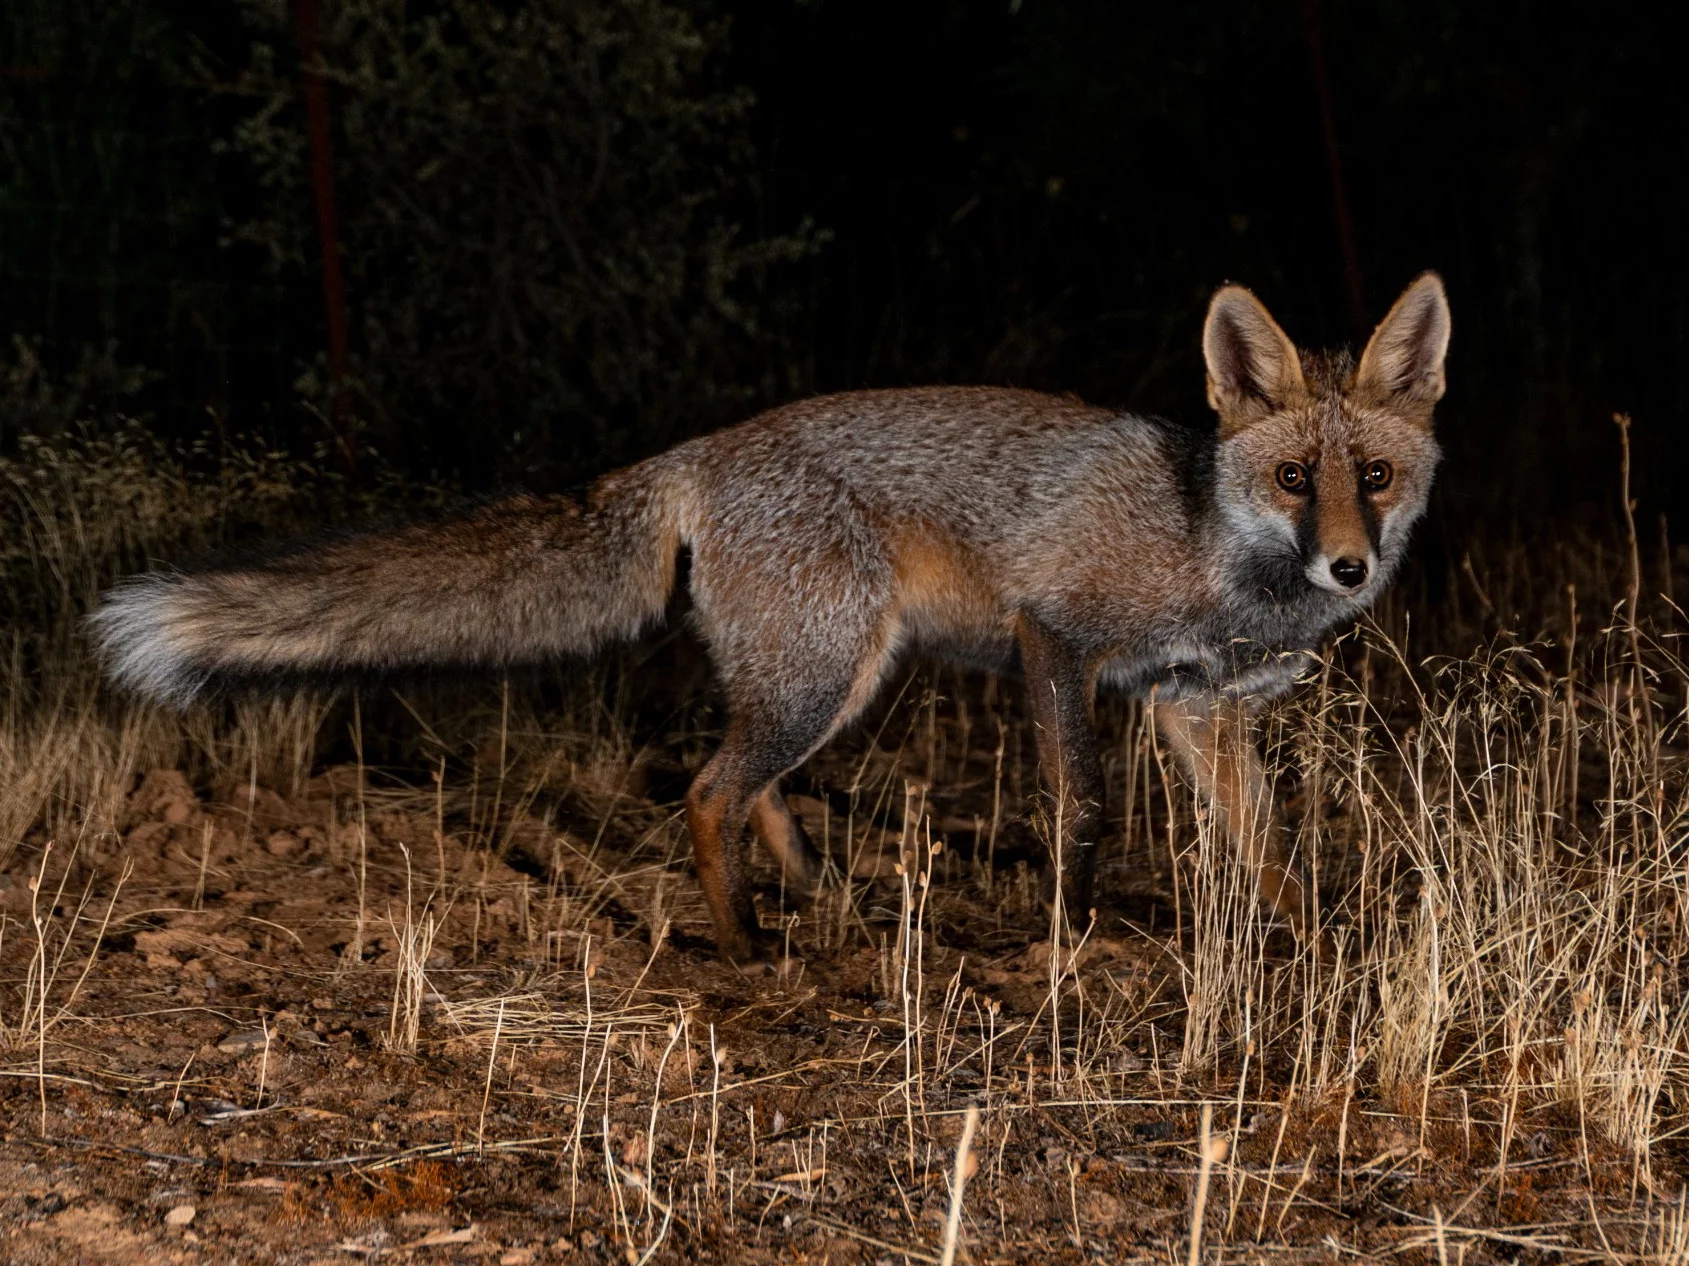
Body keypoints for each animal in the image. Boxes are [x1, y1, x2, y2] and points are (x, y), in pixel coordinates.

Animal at [92, 275, 1445, 958]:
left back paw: (823, 909)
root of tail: (695, 449)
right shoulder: (1054, 640)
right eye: (1293, 478)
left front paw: (1312, 945)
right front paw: (1076, 941)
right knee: (706, 791)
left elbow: (1265, 843)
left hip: (838, 678)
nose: (1347, 570)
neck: (1209, 550)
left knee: (757, 792)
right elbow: (1083, 812)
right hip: (820, 675)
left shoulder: (1195, 709)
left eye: (1373, 478)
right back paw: (745, 948)